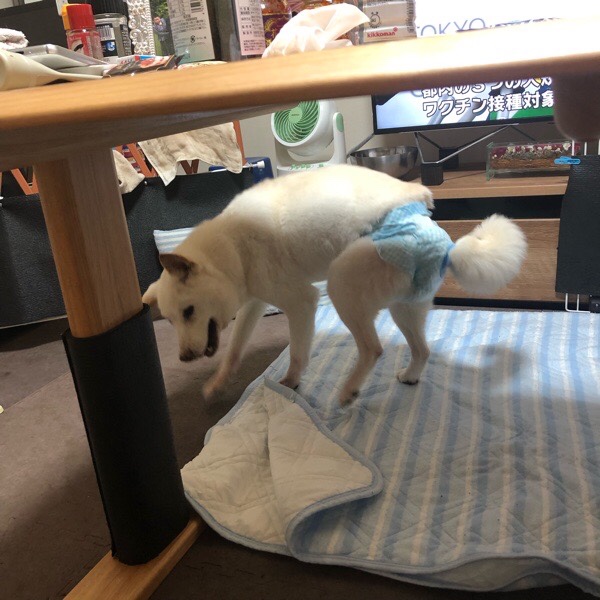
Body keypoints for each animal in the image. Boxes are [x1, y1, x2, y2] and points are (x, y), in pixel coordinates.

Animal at [142, 164, 526, 403]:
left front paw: (290, 384)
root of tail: (446, 245)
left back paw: (349, 391)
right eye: (170, 320)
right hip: (404, 309)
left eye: (189, 311)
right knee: (422, 350)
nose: (184, 357)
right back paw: (409, 376)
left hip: (341, 286)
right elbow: (234, 350)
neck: (232, 246)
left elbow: (297, 354)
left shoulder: (301, 302)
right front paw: (217, 385)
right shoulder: (253, 303)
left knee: (373, 349)